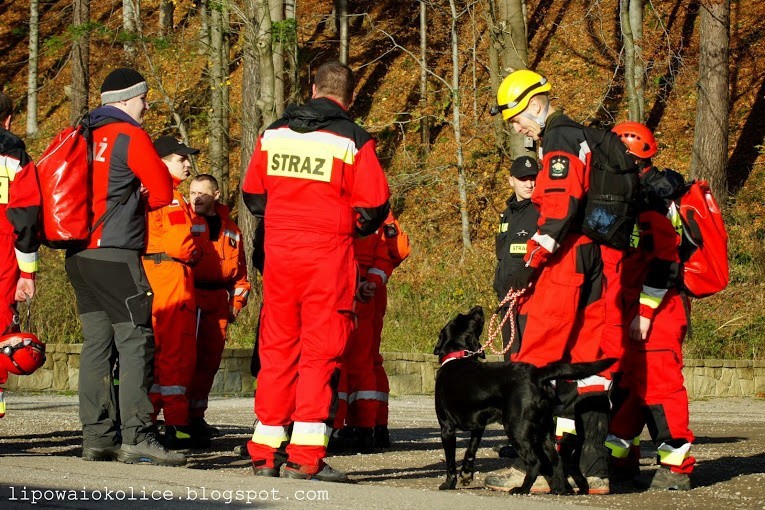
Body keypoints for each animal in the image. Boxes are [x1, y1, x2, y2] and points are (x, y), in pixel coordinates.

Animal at [432, 306, 612, 494]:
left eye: (462, 316)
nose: (478, 308)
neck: (459, 356)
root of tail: (537, 374)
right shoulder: (478, 427)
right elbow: (470, 450)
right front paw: (466, 475)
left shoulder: (446, 428)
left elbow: (450, 462)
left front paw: (448, 483)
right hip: (545, 430)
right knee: (556, 460)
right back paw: (559, 489)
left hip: (516, 428)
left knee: (535, 462)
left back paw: (522, 488)